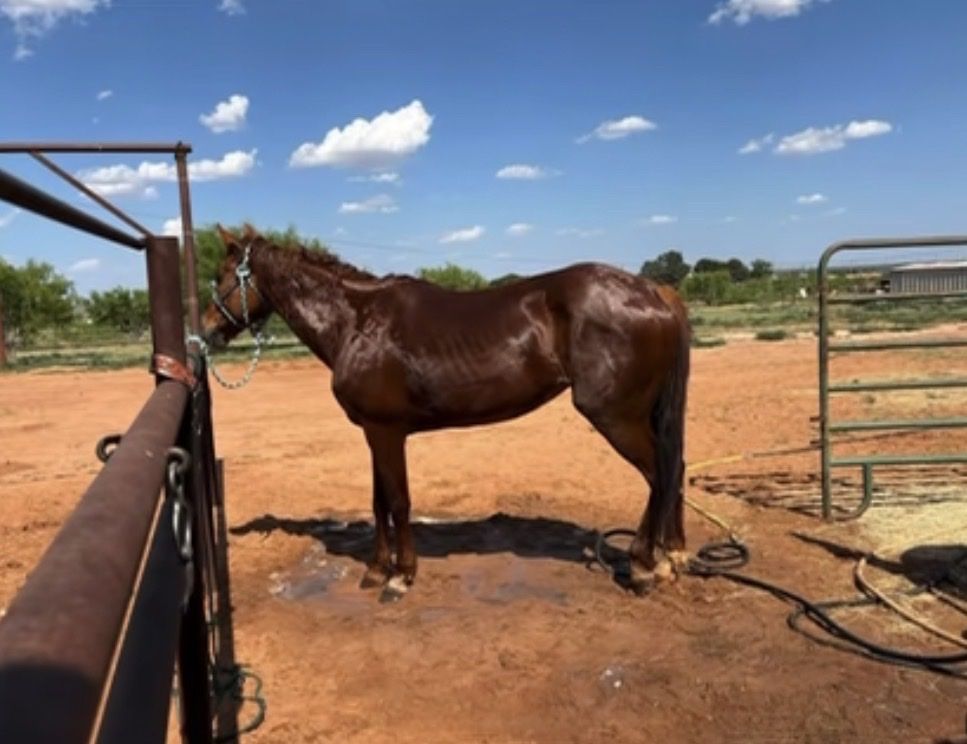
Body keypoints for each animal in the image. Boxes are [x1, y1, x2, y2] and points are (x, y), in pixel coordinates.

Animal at [200, 224, 691, 597]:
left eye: (224, 275)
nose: (206, 330)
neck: (357, 321)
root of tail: (656, 292)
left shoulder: (386, 431)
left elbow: (398, 501)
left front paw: (400, 577)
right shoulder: (374, 431)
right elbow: (379, 501)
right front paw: (376, 569)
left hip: (616, 416)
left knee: (659, 474)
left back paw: (644, 566)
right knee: (675, 469)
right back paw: (670, 557)